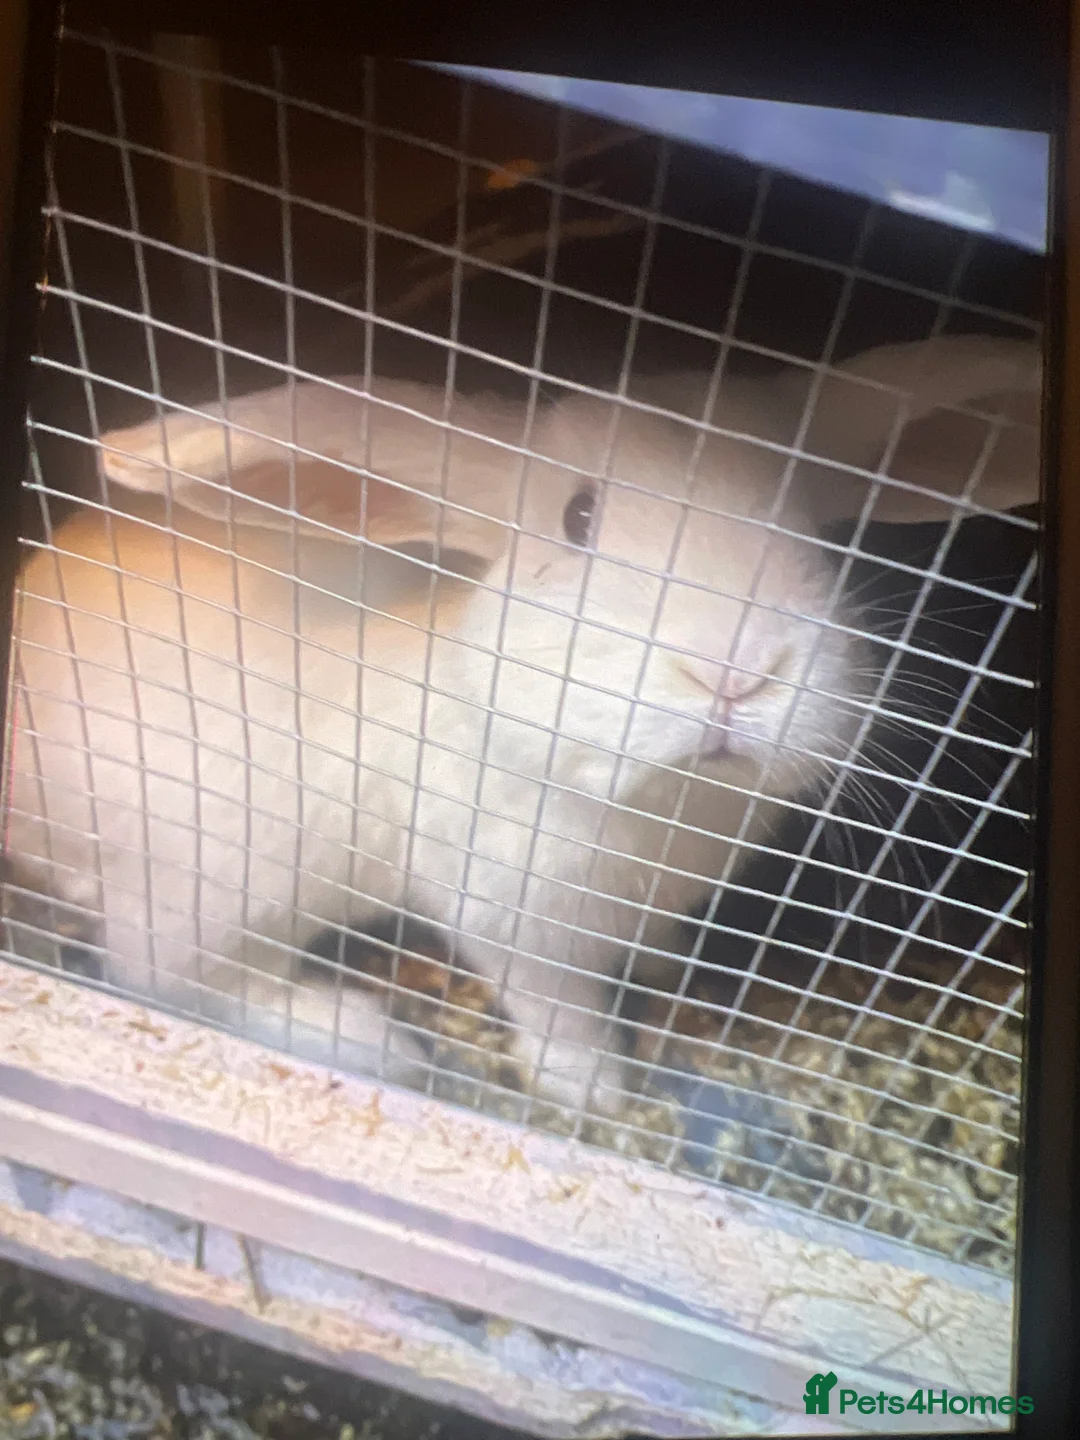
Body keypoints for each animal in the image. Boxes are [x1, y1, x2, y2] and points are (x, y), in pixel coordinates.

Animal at [2, 335, 1041, 1115]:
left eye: (818, 530)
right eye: (577, 519)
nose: (735, 675)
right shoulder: (515, 919)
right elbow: (558, 1015)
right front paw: (598, 1092)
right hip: (228, 871)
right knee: (164, 974)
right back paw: (366, 1035)